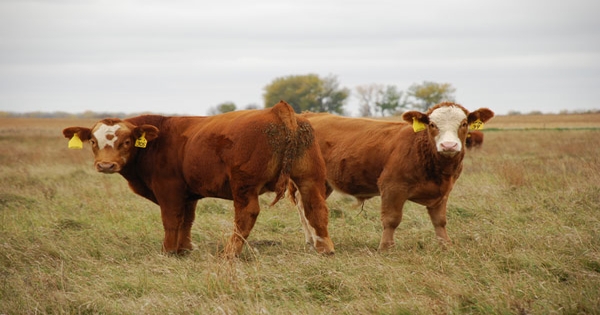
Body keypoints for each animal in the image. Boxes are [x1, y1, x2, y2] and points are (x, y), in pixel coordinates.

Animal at [63, 102, 336, 260]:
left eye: (127, 141)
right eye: (93, 141)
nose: (106, 165)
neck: (156, 142)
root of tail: (277, 110)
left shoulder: (169, 189)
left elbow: (172, 220)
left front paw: (168, 251)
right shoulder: (188, 193)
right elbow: (187, 221)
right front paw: (184, 248)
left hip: (244, 186)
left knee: (246, 215)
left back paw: (230, 252)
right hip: (310, 178)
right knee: (316, 208)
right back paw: (325, 248)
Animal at [290, 102, 492, 251]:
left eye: (464, 124)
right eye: (432, 125)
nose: (448, 145)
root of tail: (309, 115)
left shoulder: (443, 192)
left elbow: (440, 221)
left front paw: (446, 245)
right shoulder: (392, 187)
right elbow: (391, 219)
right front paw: (386, 247)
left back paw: (313, 240)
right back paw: (316, 241)